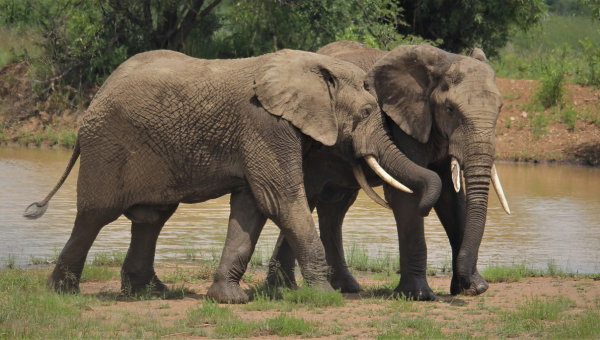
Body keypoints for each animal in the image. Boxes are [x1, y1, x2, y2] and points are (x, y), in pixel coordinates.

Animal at [22, 47, 418, 302]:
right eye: (366, 112)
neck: (313, 65)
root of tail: (94, 100)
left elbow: (252, 206)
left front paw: (228, 299)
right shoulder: (264, 124)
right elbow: (281, 199)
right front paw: (326, 297)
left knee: (151, 216)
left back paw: (149, 293)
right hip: (107, 145)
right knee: (95, 215)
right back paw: (63, 293)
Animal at [268, 41, 510, 300]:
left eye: (500, 108)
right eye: (450, 109)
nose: (464, 284)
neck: (442, 62)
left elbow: (451, 199)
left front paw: (474, 289)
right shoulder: (401, 122)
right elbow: (409, 195)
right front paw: (419, 296)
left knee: (334, 207)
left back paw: (340, 287)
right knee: (308, 198)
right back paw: (287, 288)